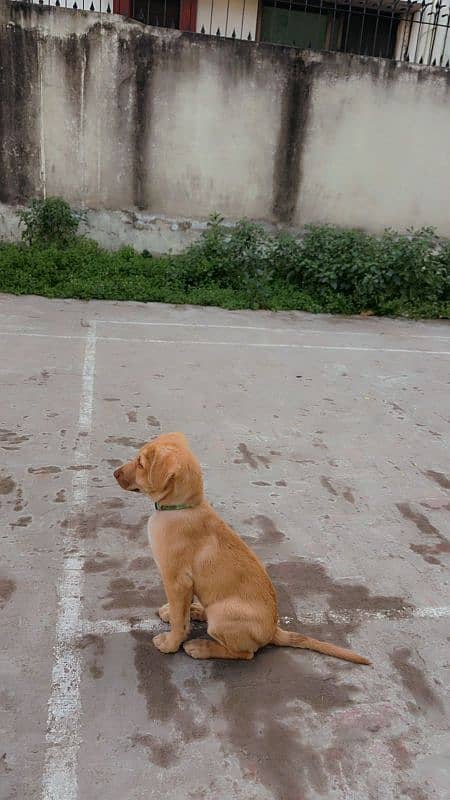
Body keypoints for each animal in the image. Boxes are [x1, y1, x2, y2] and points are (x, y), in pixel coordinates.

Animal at [113, 432, 370, 664]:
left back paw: (202, 647)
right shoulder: (183, 586)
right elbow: (180, 613)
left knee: (245, 653)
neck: (183, 507)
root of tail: (273, 630)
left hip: (222, 615)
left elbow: (179, 621)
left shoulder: (177, 581)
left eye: (140, 464)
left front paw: (170, 644)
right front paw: (176, 617)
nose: (114, 473)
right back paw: (196, 611)